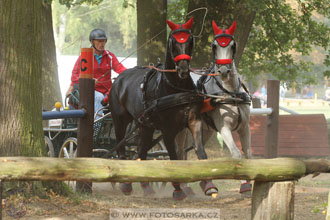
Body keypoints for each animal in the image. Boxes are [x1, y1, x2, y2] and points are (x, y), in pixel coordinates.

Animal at [109, 17, 210, 199]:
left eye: (190, 40)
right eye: (173, 41)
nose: (183, 69)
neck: (176, 88)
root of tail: (119, 79)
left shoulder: (193, 121)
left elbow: (200, 151)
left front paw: (209, 185)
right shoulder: (167, 129)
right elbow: (174, 156)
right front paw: (177, 189)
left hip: (145, 125)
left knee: (141, 152)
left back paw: (146, 186)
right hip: (120, 120)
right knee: (121, 149)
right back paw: (126, 184)